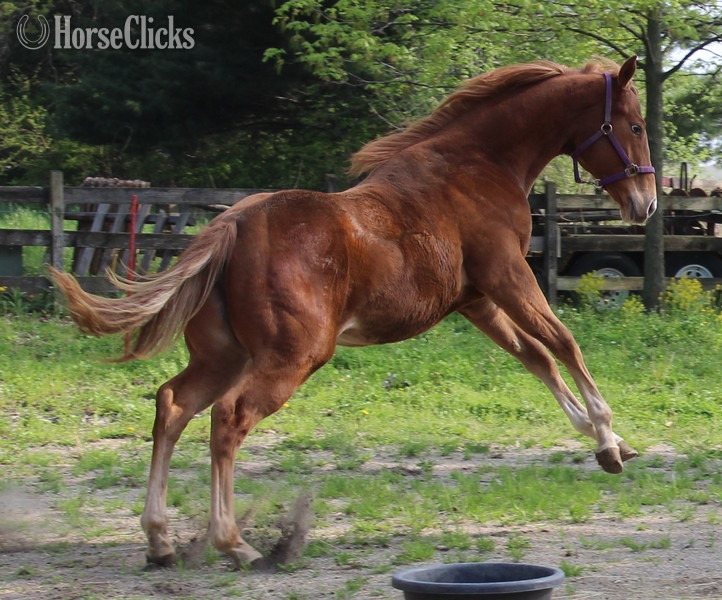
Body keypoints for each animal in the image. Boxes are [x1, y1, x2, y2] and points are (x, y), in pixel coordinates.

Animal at [50, 55, 657, 569]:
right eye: (634, 126)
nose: (646, 204)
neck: (478, 167)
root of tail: (233, 223)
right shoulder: (508, 278)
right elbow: (563, 344)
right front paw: (608, 442)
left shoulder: (477, 301)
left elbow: (537, 358)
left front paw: (606, 437)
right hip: (292, 357)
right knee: (228, 419)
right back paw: (236, 544)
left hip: (224, 356)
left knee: (172, 405)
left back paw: (161, 541)